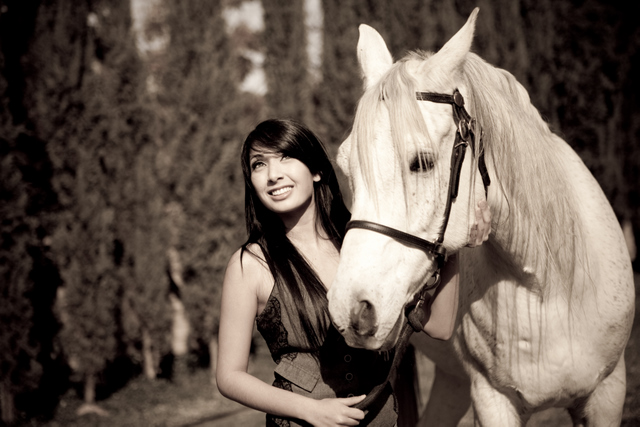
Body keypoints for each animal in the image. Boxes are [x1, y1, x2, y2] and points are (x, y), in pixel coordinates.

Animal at [326, 8, 635, 426]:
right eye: (346, 166)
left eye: (422, 162)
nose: (351, 308)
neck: (548, 287)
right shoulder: (491, 399)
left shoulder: (607, 393)